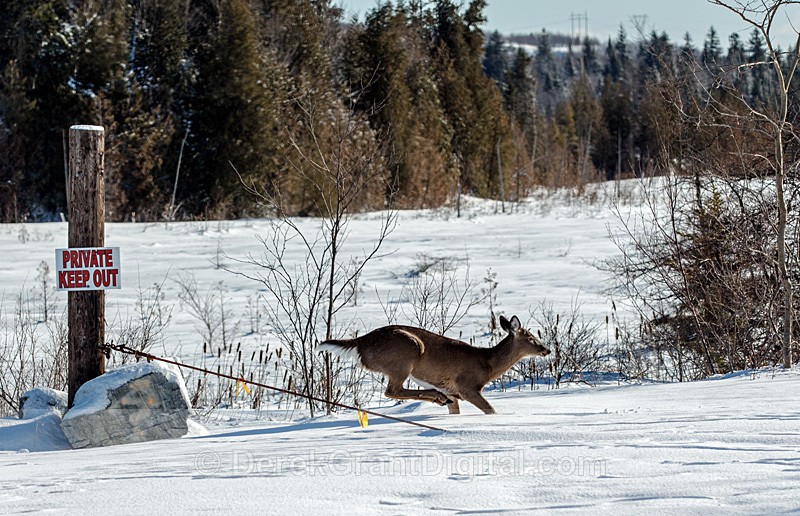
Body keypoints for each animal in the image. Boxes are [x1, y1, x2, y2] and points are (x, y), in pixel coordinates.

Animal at [318, 315, 550, 414]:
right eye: (531, 338)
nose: (546, 349)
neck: (488, 363)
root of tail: (361, 342)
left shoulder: (453, 389)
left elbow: (455, 411)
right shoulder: (467, 386)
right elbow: (490, 410)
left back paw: (439, 398)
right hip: (406, 354)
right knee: (392, 390)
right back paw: (437, 397)